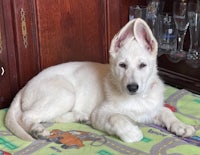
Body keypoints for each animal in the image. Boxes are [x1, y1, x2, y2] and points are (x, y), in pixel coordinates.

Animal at [5, 18, 195, 142]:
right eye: (122, 65)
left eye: (143, 65)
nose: (132, 87)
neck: (136, 99)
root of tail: (24, 87)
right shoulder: (100, 113)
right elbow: (117, 118)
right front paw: (132, 133)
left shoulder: (150, 109)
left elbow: (166, 112)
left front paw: (181, 126)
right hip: (64, 93)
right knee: (26, 116)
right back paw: (37, 130)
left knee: (52, 117)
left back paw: (80, 117)